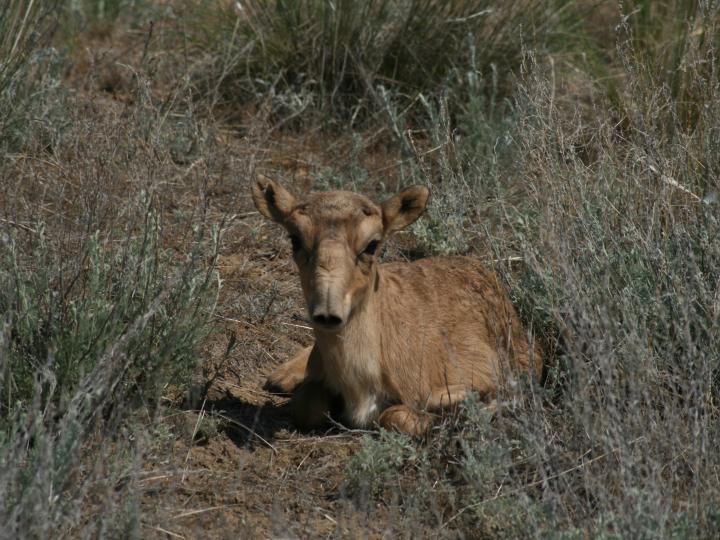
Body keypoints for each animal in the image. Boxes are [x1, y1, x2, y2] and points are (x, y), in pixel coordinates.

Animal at [252, 177, 540, 434]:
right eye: (295, 239)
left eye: (372, 245)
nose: (326, 312)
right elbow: (306, 405)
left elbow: (395, 416)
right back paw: (282, 375)